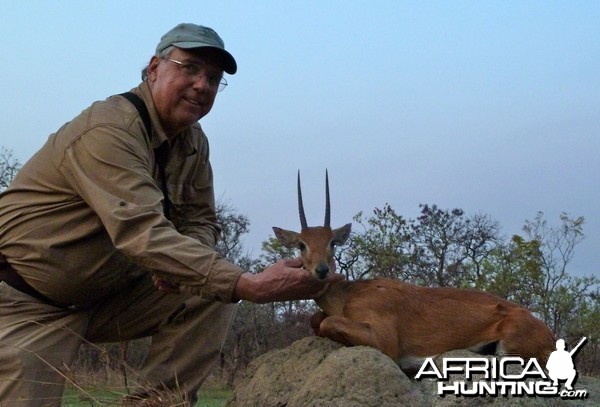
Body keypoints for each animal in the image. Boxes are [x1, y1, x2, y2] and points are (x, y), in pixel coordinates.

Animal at [272, 171, 552, 374]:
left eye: (332, 242)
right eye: (301, 244)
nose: (321, 270)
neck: (348, 296)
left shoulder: (384, 341)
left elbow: (326, 321)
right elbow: (316, 319)